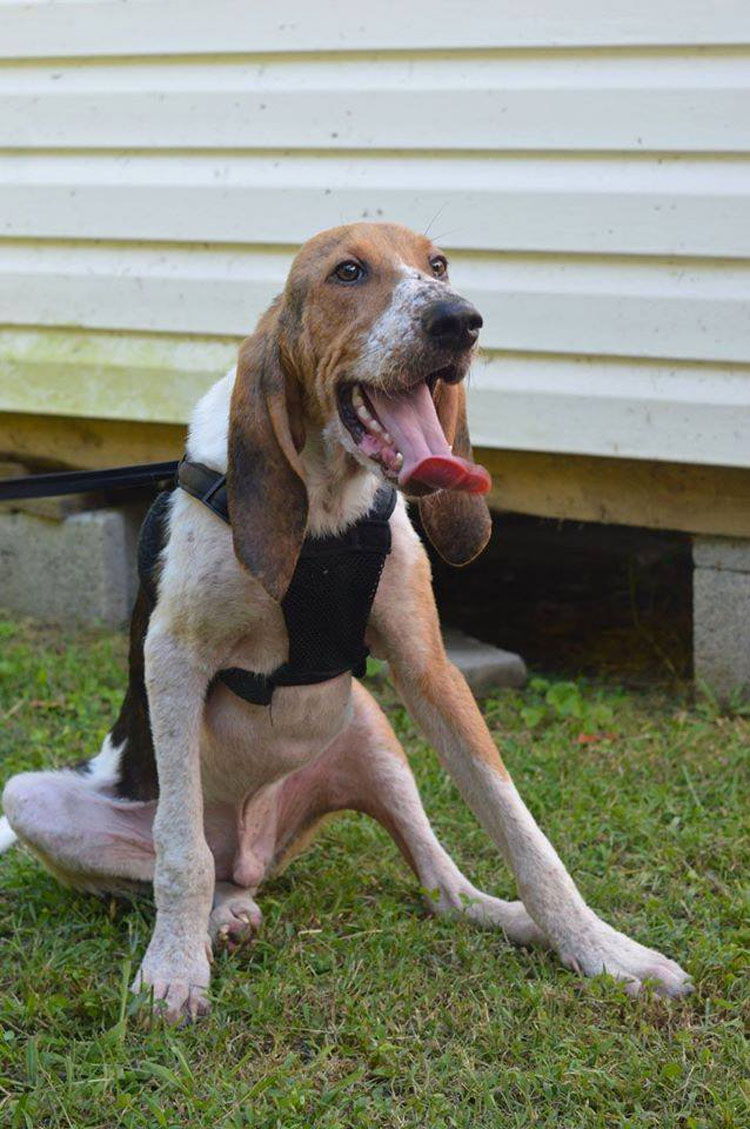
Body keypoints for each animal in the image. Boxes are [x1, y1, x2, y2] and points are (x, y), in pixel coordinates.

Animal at [0, 222, 691, 1025]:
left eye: (439, 264)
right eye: (348, 273)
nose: (459, 319)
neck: (327, 509)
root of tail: (256, 845)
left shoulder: (429, 667)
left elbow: (518, 825)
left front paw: (602, 950)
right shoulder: (173, 657)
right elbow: (180, 851)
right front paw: (173, 970)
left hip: (370, 726)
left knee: (443, 889)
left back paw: (511, 918)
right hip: (34, 799)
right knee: (202, 862)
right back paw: (220, 916)